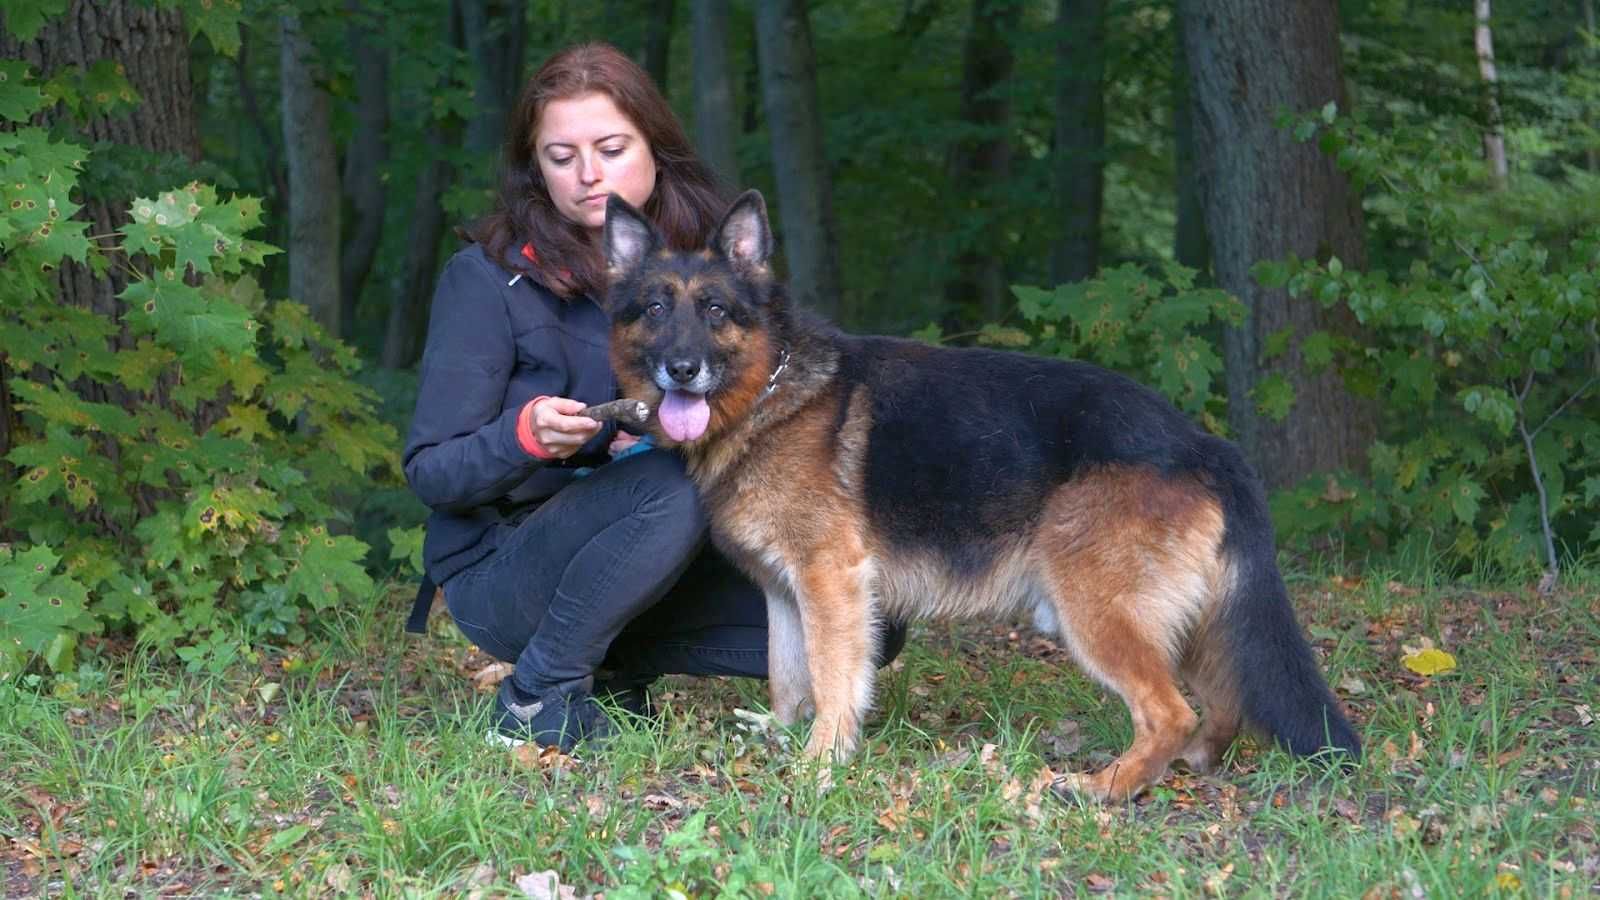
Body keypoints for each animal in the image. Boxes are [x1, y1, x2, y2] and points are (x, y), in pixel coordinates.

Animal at [604, 190, 1356, 797]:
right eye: (654, 309)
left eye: (715, 310)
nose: (681, 368)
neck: (771, 389)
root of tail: (1206, 446)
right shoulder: (785, 591)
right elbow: (788, 674)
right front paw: (784, 738)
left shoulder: (829, 583)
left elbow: (832, 677)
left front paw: (821, 764)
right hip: (1186, 618)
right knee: (1222, 702)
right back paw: (1188, 765)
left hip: (1095, 612)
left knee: (1170, 712)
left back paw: (1108, 787)